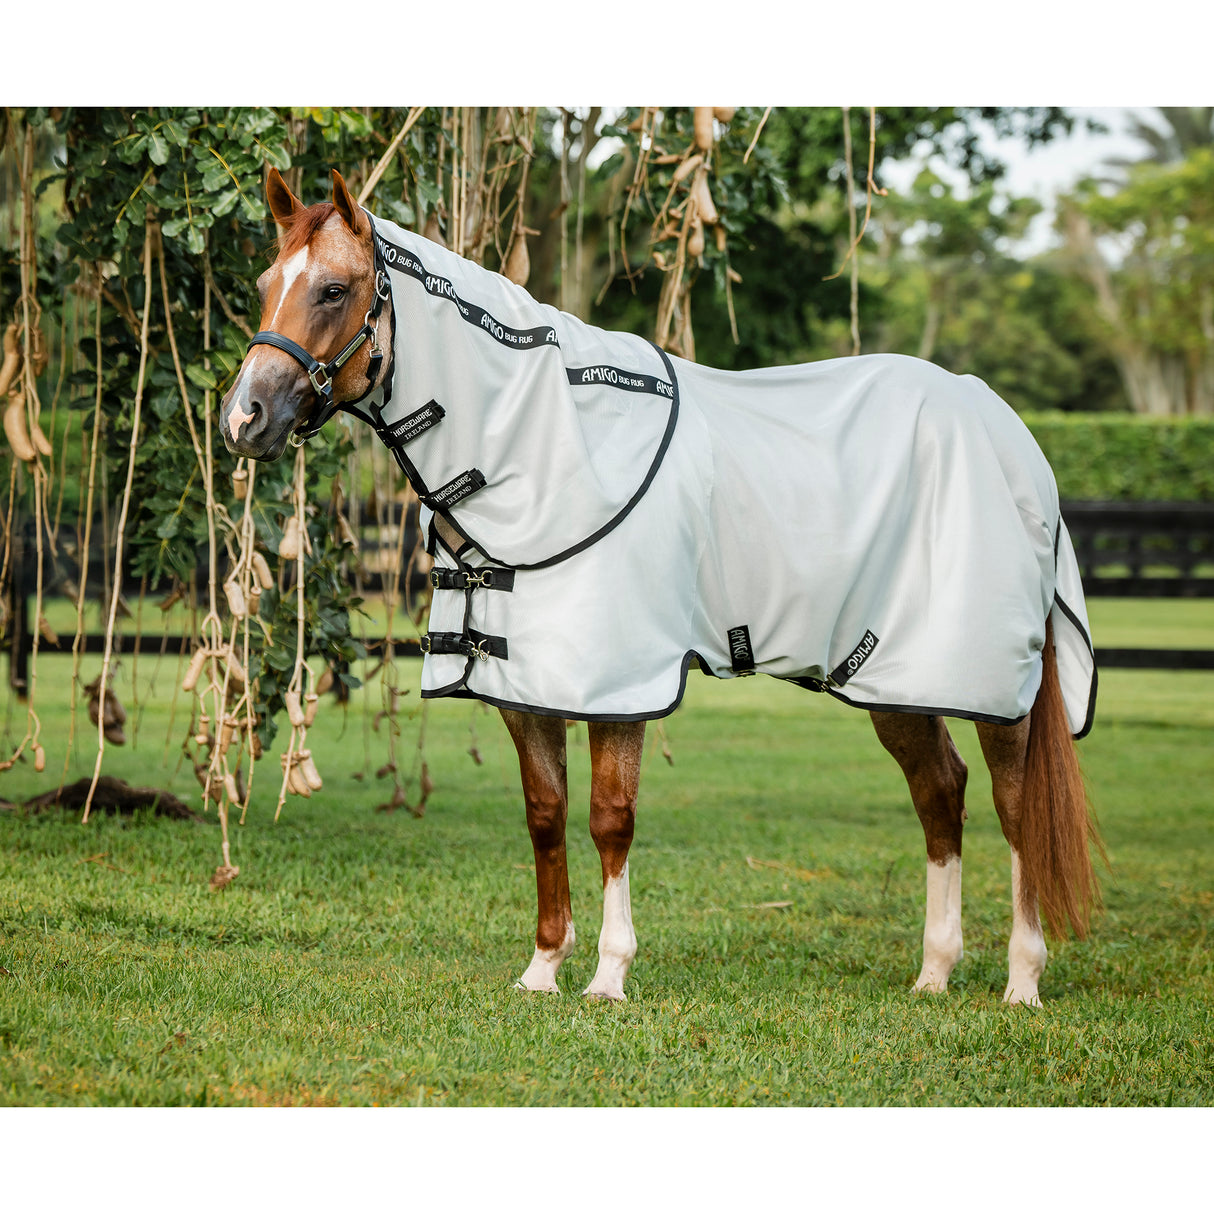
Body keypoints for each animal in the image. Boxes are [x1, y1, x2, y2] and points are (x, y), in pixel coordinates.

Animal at [221, 168, 1102, 1007]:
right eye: (264, 282)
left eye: (334, 289)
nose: (244, 418)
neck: (545, 451)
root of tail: (1003, 425)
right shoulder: (524, 688)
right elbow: (546, 816)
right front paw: (542, 969)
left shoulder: (621, 686)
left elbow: (611, 820)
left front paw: (609, 976)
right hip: (893, 676)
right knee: (939, 793)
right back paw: (934, 973)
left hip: (989, 683)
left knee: (1016, 806)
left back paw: (1022, 981)